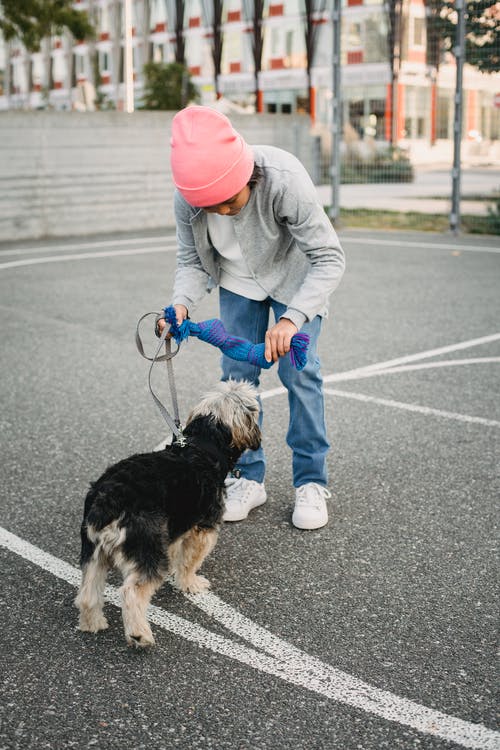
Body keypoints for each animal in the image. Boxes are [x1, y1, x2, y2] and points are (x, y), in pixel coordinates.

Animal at [75, 378, 262, 648]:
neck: (203, 446)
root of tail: (108, 498)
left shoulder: (175, 528)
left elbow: (176, 553)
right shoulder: (202, 530)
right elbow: (190, 562)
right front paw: (190, 583)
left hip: (94, 552)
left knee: (87, 593)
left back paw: (93, 624)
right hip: (147, 550)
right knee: (131, 592)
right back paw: (139, 634)